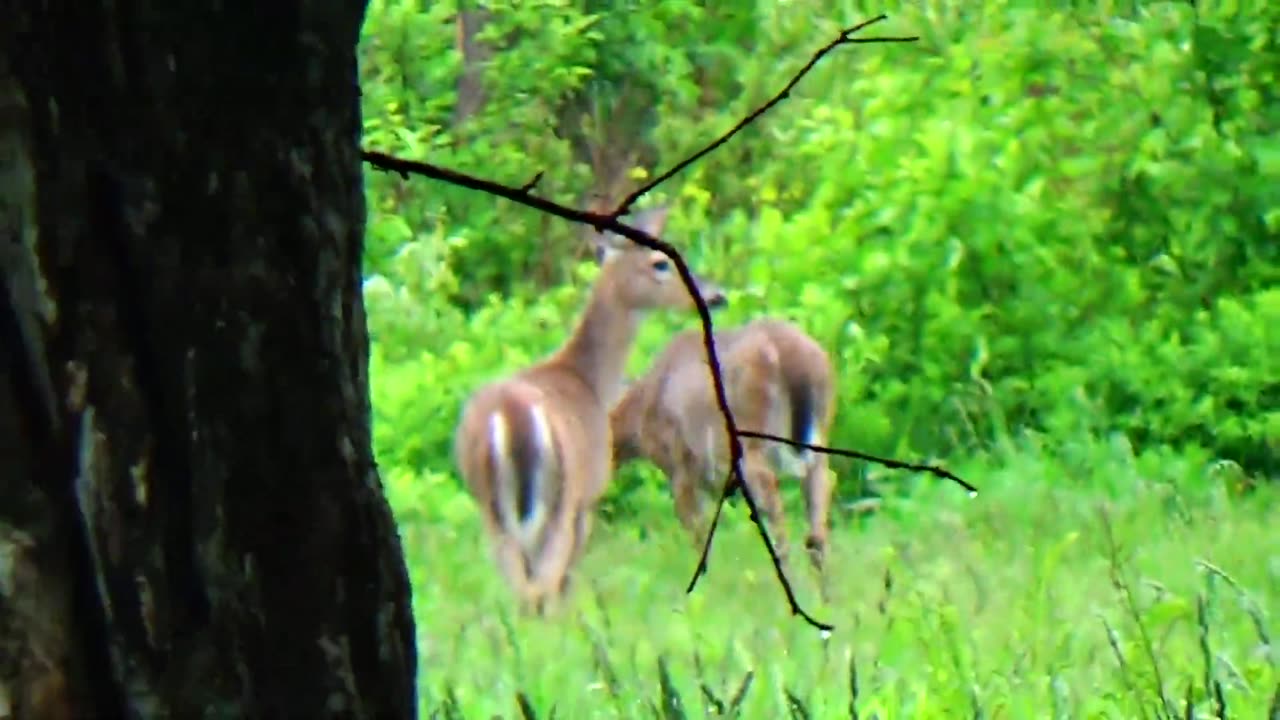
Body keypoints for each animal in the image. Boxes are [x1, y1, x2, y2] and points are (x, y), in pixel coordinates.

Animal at [455, 206, 727, 609]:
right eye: (660, 262)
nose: (717, 295)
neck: (591, 382)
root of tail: (509, 418)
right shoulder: (588, 496)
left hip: (492, 511)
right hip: (559, 504)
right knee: (542, 588)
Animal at [611, 316, 839, 586]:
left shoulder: (680, 469)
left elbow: (697, 535)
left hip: (748, 440)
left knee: (772, 498)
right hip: (818, 437)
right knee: (819, 515)